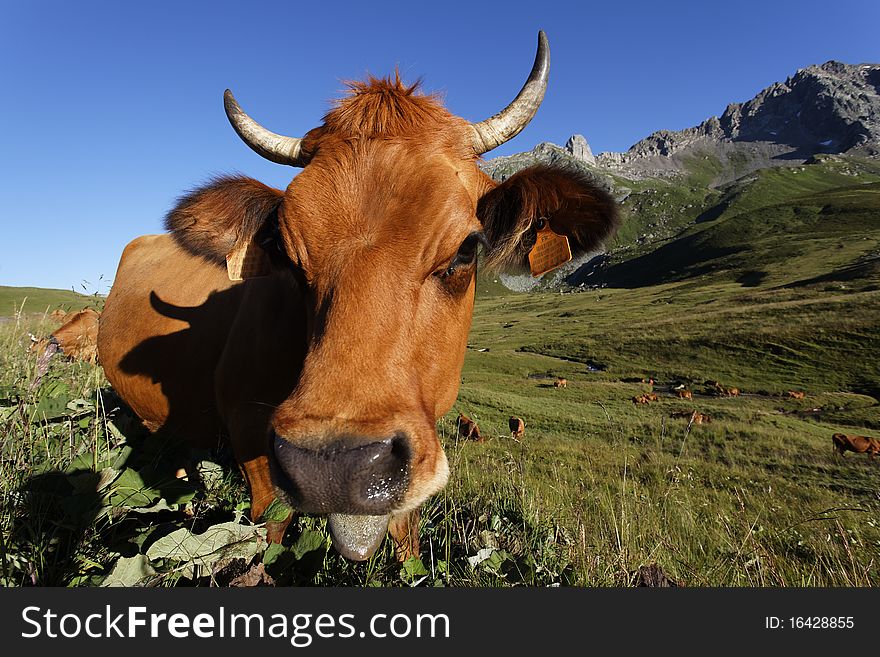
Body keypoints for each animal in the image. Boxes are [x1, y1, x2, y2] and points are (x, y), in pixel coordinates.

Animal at [94, 32, 620, 564]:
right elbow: (269, 533)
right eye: (283, 252)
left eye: (468, 247)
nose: (336, 466)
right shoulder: (251, 444)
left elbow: (406, 534)